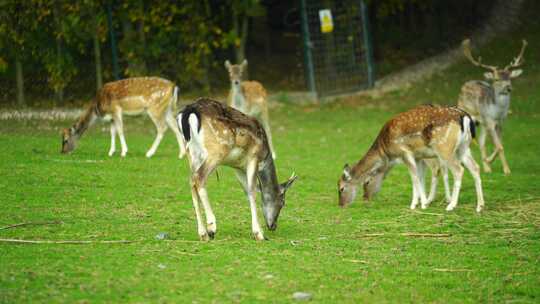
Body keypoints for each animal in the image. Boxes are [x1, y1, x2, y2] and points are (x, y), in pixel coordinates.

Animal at [176, 98, 296, 241]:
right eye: (283, 202)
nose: (273, 226)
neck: (264, 157)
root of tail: (188, 112)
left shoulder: (238, 167)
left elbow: (246, 191)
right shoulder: (253, 158)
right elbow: (252, 190)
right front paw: (259, 234)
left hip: (192, 153)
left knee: (191, 180)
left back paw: (203, 233)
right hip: (216, 150)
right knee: (199, 177)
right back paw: (211, 227)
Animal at [338, 105, 486, 214]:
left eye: (341, 189)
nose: (341, 205)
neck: (387, 154)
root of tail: (465, 117)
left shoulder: (405, 153)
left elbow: (414, 178)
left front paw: (416, 204)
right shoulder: (418, 156)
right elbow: (420, 178)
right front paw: (424, 202)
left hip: (445, 148)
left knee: (458, 170)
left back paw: (451, 205)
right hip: (463, 147)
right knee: (475, 167)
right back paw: (480, 206)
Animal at [456, 39, 528, 175]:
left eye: (509, 77)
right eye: (496, 79)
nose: (508, 87)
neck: (497, 113)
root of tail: (464, 85)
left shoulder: (500, 122)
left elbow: (499, 145)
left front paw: (489, 161)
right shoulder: (489, 121)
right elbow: (499, 146)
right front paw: (507, 170)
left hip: (482, 123)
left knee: (481, 142)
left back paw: (487, 168)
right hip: (468, 116)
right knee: (469, 140)